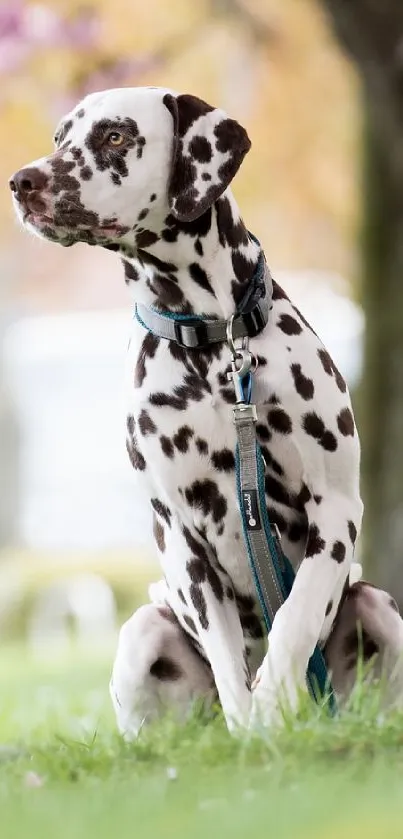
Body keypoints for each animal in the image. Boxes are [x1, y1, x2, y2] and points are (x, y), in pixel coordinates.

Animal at [8, 87, 403, 736]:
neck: (214, 344)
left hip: (379, 607)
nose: (22, 181)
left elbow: (295, 618)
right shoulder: (180, 536)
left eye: (115, 136)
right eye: (60, 136)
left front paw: (274, 700)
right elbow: (227, 660)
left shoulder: (337, 508)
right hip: (143, 631)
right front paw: (251, 730)